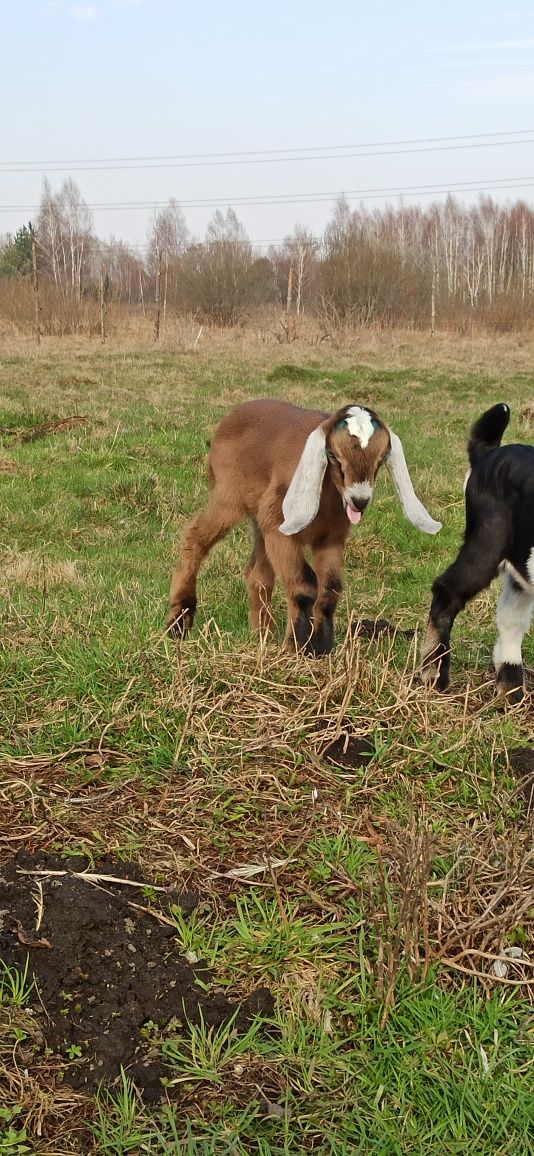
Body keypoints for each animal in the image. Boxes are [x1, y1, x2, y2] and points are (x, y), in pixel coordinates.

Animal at [420, 402, 534, 698]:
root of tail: (489, 452)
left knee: (511, 615)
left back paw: (510, 684)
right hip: (487, 540)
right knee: (447, 591)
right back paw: (434, 674)